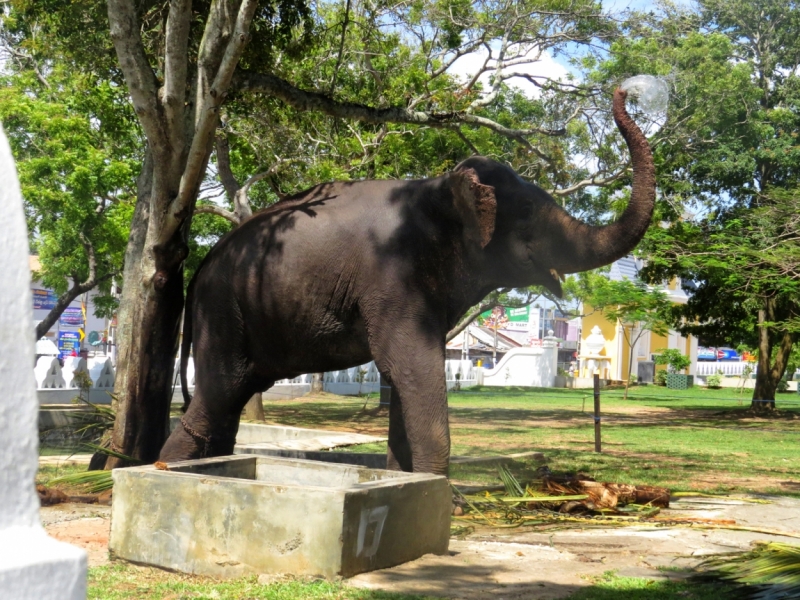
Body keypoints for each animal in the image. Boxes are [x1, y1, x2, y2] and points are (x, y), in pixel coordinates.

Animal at [161, 88, 656, 474]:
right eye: (530, 210)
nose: (624, 91)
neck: (439, 187)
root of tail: (201, 266)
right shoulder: (391, 273)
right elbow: (410, 366)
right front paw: (438, 502)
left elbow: (405, 376)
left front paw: (409, 482)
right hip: (223, 313)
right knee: (216, 399)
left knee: (226, 406)